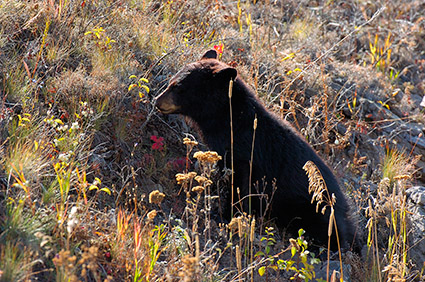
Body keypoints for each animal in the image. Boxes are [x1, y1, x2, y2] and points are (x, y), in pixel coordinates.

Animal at [156, 49, 358, 251]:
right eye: (171, 82)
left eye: (178, 87)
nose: (157, 100)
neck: (232, 121)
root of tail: (347, 209)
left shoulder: (247, 154)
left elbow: (240, 184)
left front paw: (227, 214)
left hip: (315, 208)